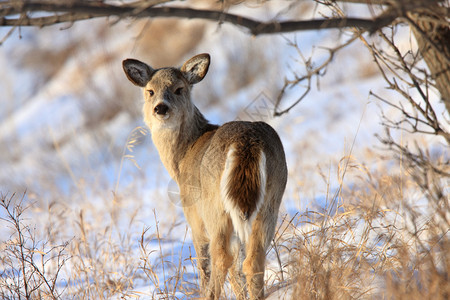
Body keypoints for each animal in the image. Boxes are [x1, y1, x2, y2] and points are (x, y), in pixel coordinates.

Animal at [122, 53, 288, 298]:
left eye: (179, 88)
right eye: (150, 91)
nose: (160, 108)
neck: (182, 156)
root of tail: (246, 143)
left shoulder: (194, 217)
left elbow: (204, 264)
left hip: (214, 207)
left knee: (222, 258)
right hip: (270, 200)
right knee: (252, 260)